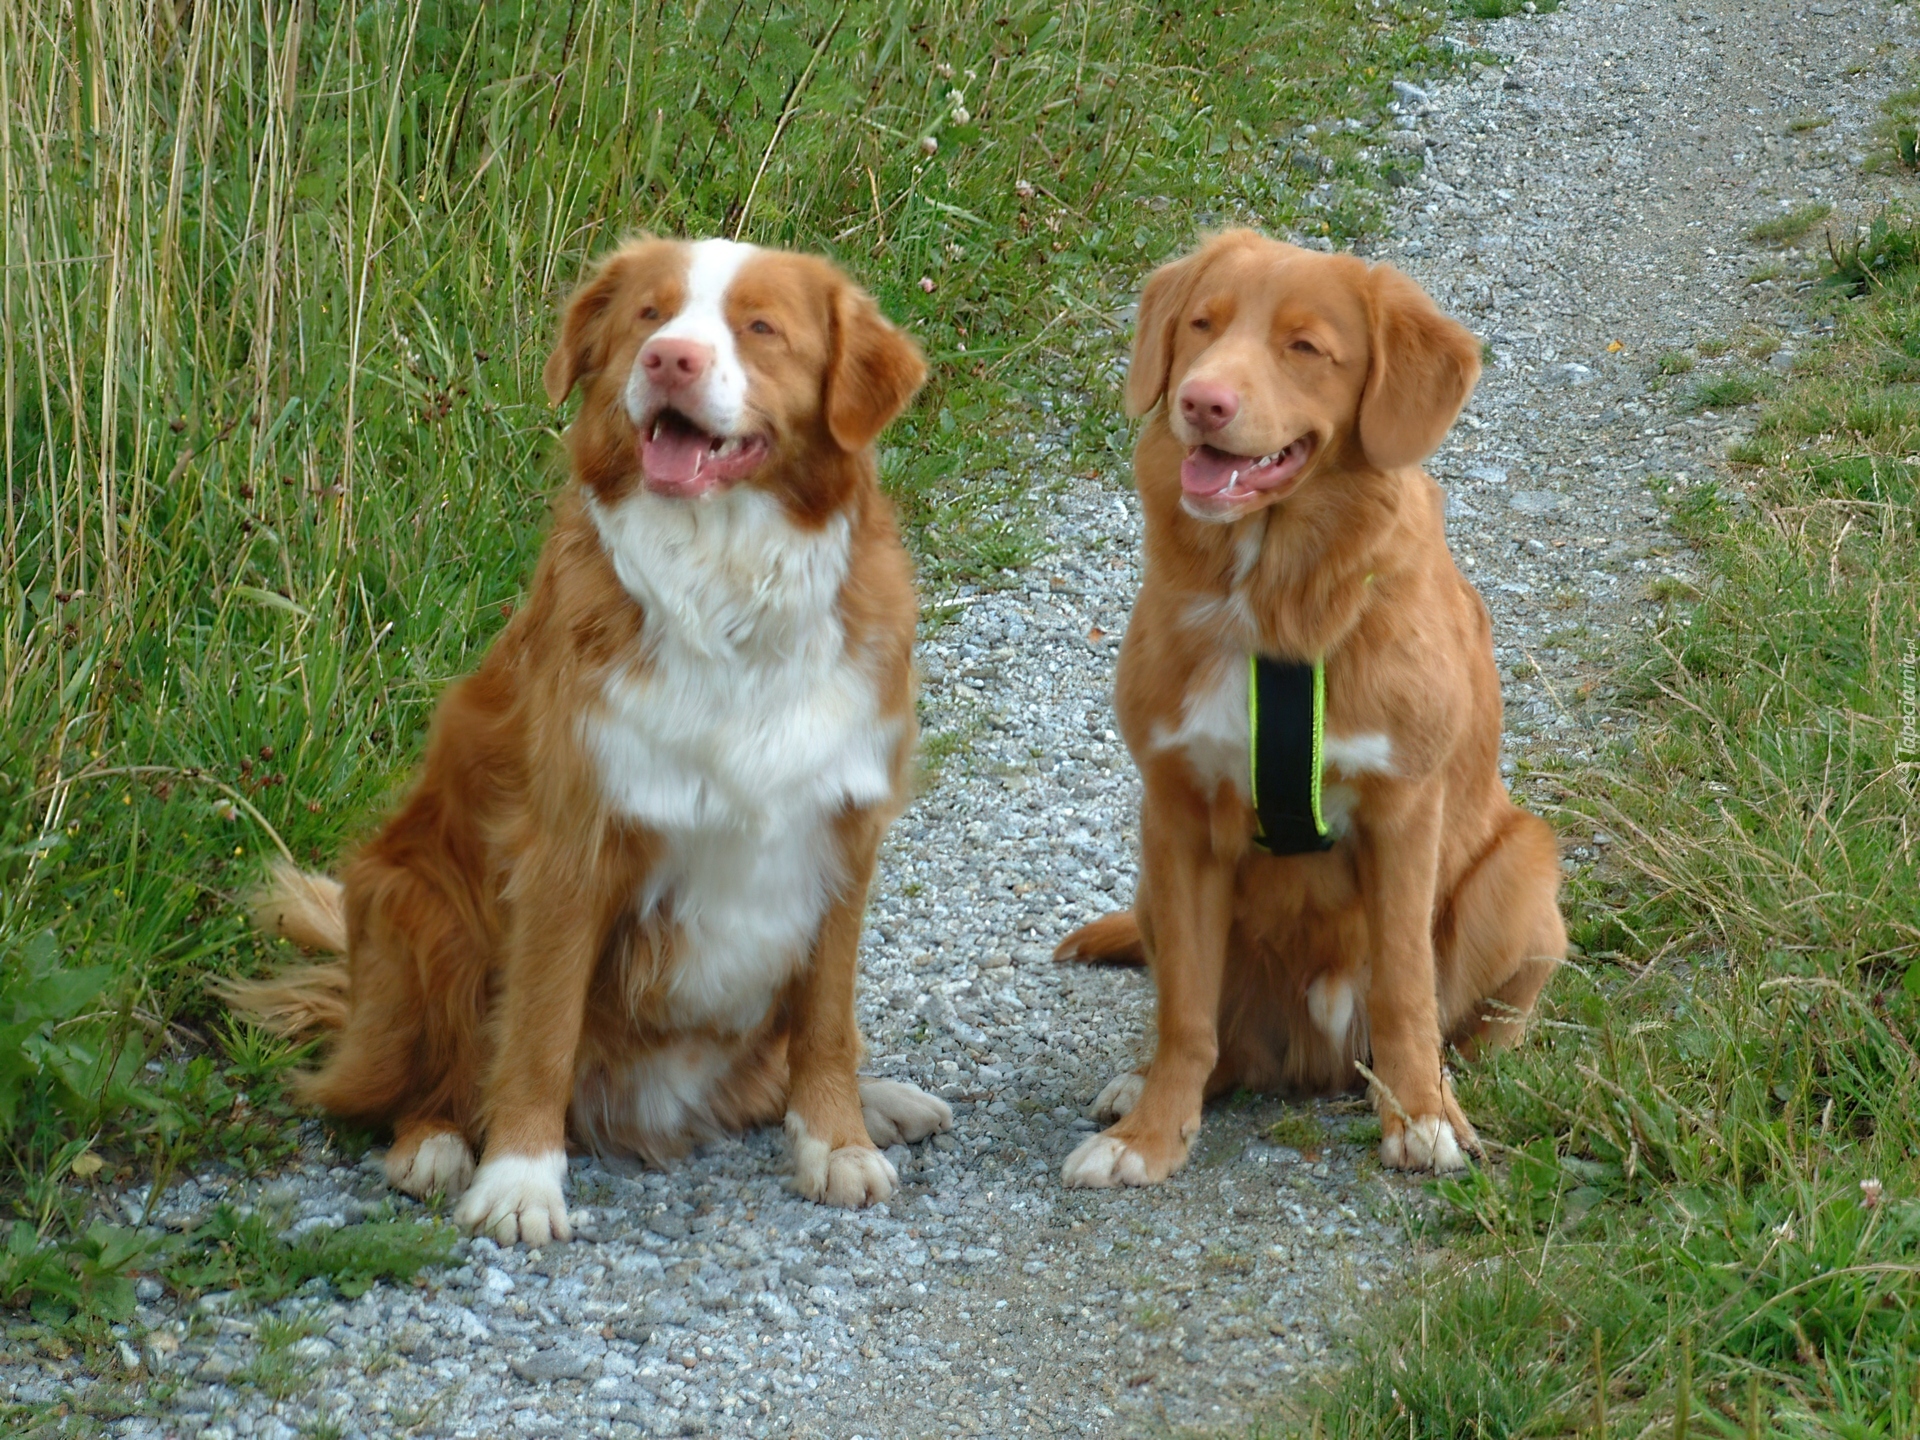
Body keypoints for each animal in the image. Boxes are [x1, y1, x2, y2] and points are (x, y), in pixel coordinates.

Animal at [232, 237, 952, 1244]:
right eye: (650, 315)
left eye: (760, 328)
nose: (670, 361)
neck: (728, 590)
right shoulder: (571, 847)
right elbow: (539, 1030)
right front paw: (521, 1183)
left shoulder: (843, 830)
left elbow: (827, 1022)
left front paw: (838, 1141)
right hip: (415, 902)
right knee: (428, 1075)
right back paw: (435, 1146)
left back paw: (879, 1102)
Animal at [1059, 231, 1566, 1190]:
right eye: (1202, 325)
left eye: (1304, 347)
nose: (1201, 401)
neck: (1273, 606)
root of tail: (1317, 1060)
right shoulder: (1177, 814)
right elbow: (1184, 1011)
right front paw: (1152, 1135)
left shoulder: (1403, 811)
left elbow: (1406, 990)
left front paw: (1422, 1119)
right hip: (1149, 880)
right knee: (1216, 1036)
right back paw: (1147, 1082)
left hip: (1522, 869)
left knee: (1484, 1015)